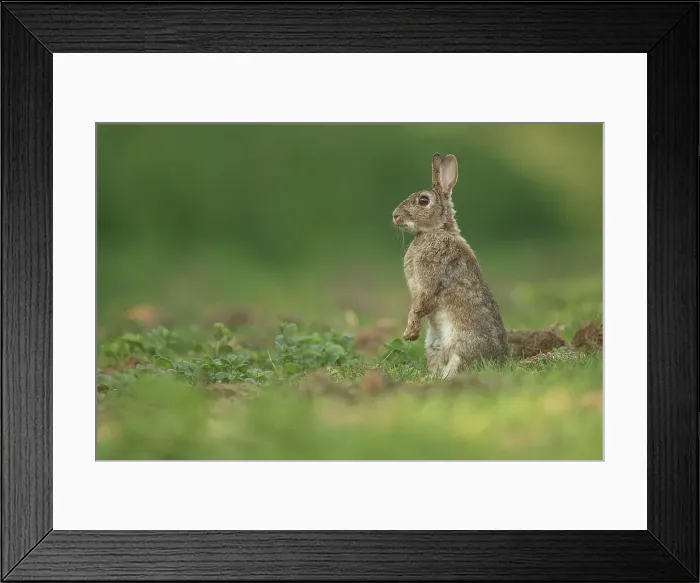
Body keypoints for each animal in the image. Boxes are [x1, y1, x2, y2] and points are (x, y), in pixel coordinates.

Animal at [391, 153, 509, 379]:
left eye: (423, 200)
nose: (394, 216)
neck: (436, 230)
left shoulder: (429, 281)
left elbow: (419, 306)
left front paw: (409, 334)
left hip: (460, 344)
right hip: (433, 346)